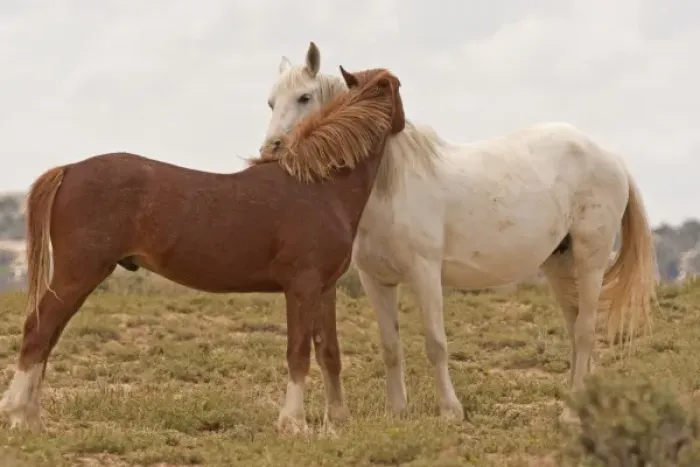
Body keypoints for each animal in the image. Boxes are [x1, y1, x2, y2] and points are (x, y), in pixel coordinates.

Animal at [0, 65, 406, 436]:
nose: (404, 125)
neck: (320, 186)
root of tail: (69, 170)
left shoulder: (325, 289)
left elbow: (329, 352)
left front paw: (338, 420)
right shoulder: (302, 287)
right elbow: (298, 353)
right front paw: (293, 423)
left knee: (49, 335)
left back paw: (32, 417)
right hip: (79, 272)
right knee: (39, 329)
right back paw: (20, 415)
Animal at [261, 42, 658, 423]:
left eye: (304, 97)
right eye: (271, 102)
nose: (270, 150)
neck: (389, 186)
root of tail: (610, 157)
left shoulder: (425, 272)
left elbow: (436, 343)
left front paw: (451, 411)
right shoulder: (377, 280)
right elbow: (390, 346)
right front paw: (396, 411)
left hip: (590, 261)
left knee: (586, 332)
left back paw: (571, 415)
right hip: (560, 265)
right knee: (576, 332)